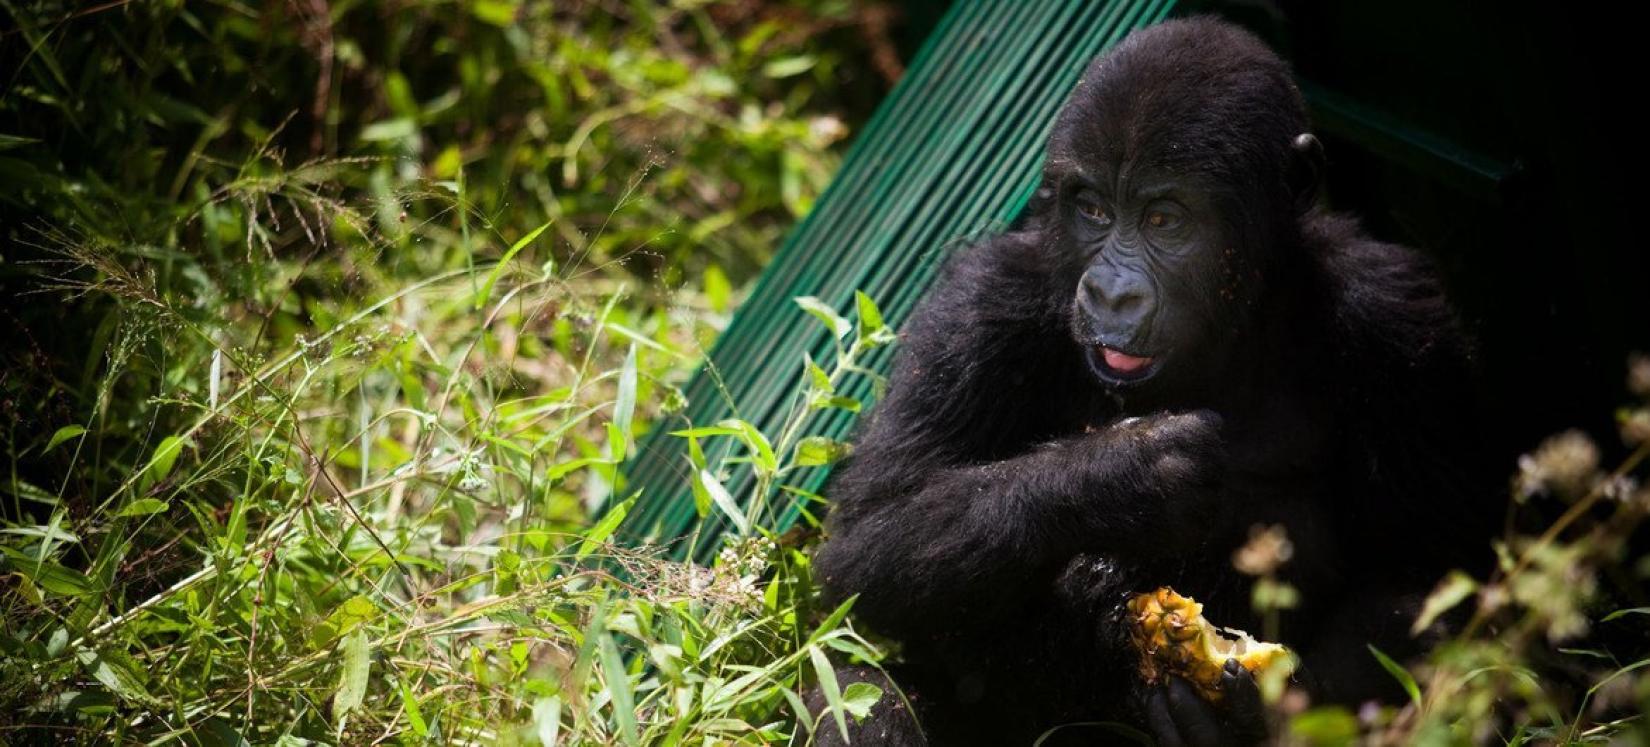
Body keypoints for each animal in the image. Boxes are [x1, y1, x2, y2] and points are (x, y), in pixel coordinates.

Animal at [808, 15, 1498, 745]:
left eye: (1165, 218)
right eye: (1093, 209)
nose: (1111, 293)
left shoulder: (1399, 318)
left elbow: (1435, 569)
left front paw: (1263, 705)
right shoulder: (977, 303)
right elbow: (870, 538)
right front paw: (1126, 473)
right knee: (857, 689)